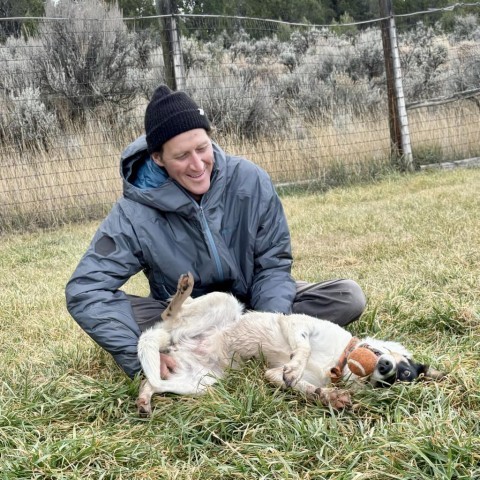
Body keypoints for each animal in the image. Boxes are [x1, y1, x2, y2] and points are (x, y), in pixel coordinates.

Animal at [135, 274, 442, 416]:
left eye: (394, 380)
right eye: (403, 369)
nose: (385, 367)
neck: (338, 362)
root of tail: (176, 342)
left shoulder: (272, 374)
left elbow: (306, 388)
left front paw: (330, 396)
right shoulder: (296, 324)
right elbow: (303, 350)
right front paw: (297, 368)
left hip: (201, 382)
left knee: (155, 381)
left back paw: (144, 399)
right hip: (224, 301)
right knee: (171, 314)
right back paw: (182, 292)